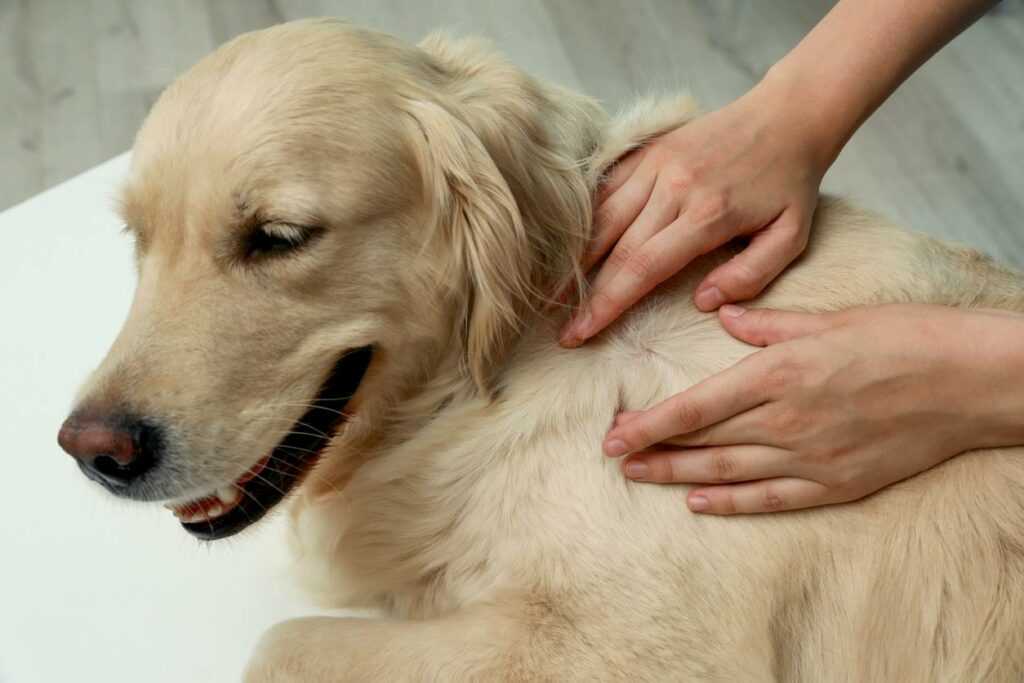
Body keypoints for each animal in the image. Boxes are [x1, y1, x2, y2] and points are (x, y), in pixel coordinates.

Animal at [58, 18, 1024, 679]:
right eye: (137, 237)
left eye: (279, 237)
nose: (92, 451)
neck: (503, 364)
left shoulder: (629, 646)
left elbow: (277, 643)